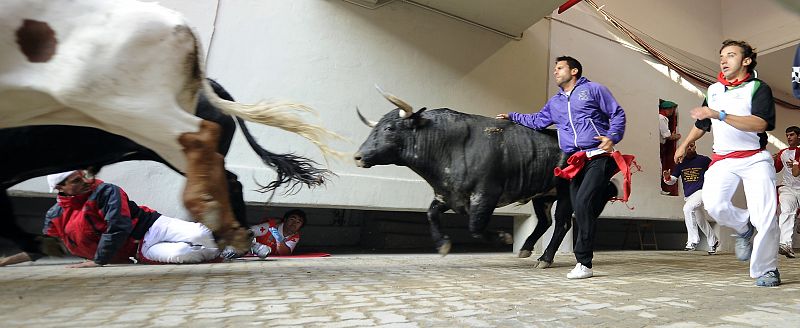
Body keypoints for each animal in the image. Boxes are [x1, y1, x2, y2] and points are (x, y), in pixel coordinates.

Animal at [356, 105, 576, 266]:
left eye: (389, 128)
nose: (358, 156)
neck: (448, 145)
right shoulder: (448, 193)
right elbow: (431, 213)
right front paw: (443, 245)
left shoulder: (486, 195)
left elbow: (475, 227)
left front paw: (505, 237)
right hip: (543, 195)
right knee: (545, 221)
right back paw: (526, 249)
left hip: (565, 192)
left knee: (562, 223)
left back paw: (545, 258)